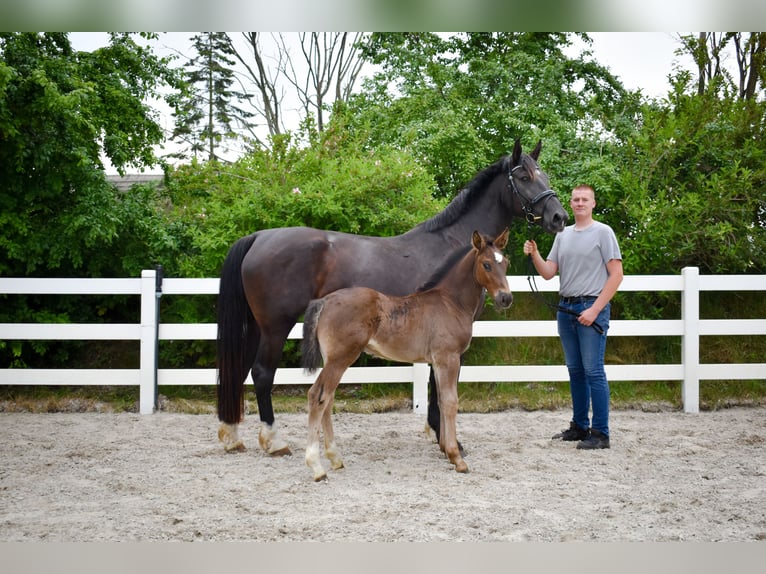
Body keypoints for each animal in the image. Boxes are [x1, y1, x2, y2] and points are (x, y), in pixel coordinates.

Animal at [217, 139, 567, 454]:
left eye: (546, 176)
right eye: (524, 177)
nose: (559, 217)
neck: (453, 245)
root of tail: (259, 237)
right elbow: (438, 383)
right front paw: (445, 438)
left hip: (256, 326)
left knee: (242, 370)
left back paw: (233, 436)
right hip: (276, 326)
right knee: (262, 373)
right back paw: (273, 441)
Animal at [301, 229, 512, 480]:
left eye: (506, 263)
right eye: (486, 264)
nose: (506, 298)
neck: (450, 302)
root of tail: (325, 301)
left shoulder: (438, 362)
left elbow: (440, 400)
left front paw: (446, 450)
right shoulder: (448, 358)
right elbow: (451, 402)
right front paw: (456, 458)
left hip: (333, 360)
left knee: (328, 398)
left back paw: (335, 458)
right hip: (340, 359)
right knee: (318, 396)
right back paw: (316, 466)